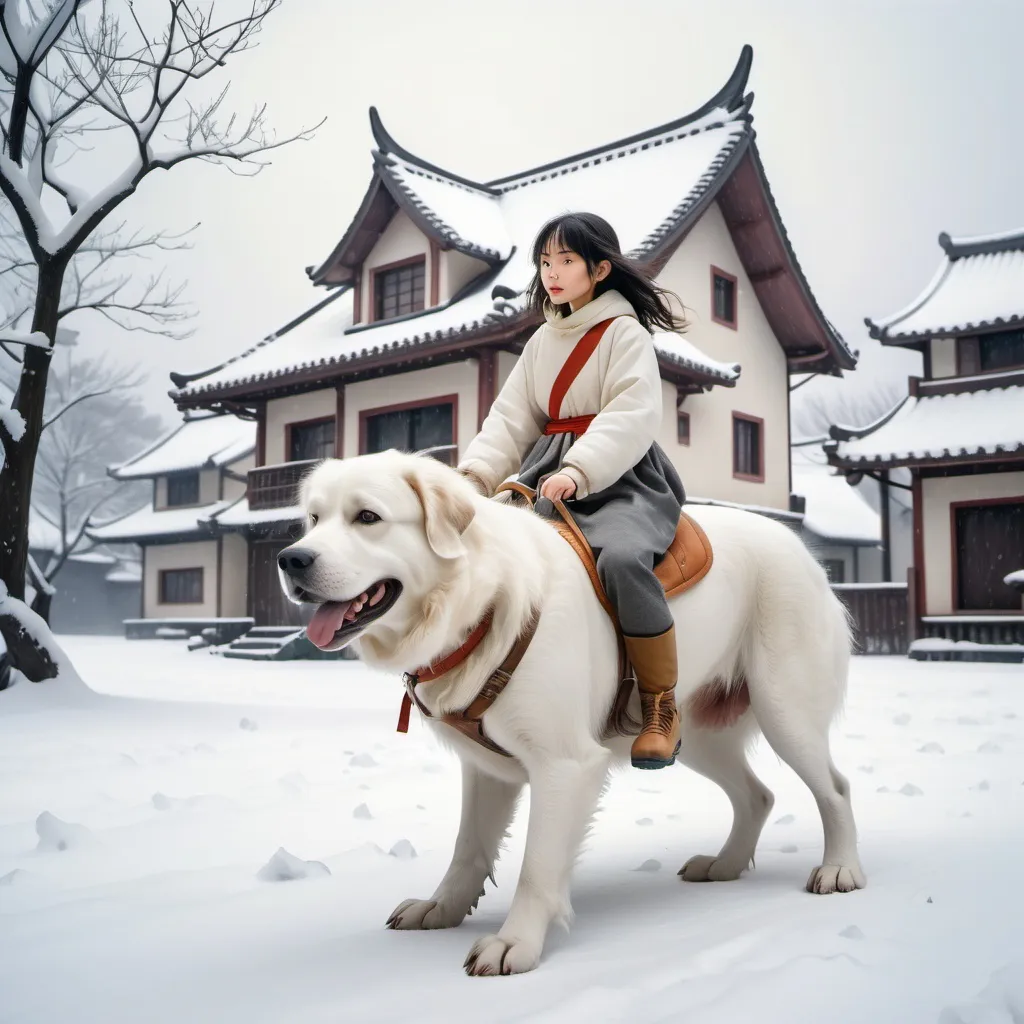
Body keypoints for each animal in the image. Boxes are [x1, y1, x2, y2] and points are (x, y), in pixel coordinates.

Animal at [278, 450, 864, 974]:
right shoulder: (486, 771)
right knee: (757, 795)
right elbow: (469, 847)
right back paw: (725, 865)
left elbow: (538, 866)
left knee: (835, 788)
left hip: (785, 709)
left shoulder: (564, 765)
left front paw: (514, 944)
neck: (486, 605)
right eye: (314, 519)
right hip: (692, 734)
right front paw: (441, 908)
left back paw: (839, 869)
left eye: (367, 517)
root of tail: (800, 550)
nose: (291, 559)